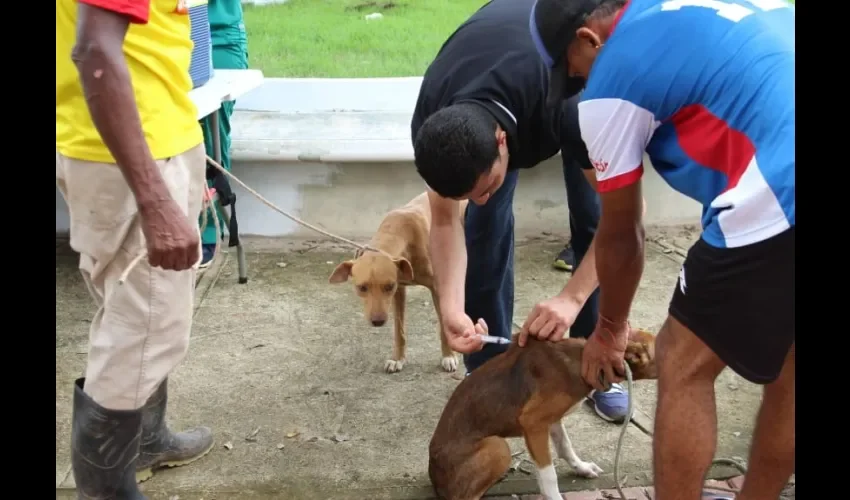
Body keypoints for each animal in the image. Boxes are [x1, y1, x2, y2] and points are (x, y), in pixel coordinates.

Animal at [328, 193, 470, 374]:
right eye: (362, 287)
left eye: (388, 286)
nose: (378, 322)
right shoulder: (399, 290)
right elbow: (399, 329)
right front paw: (397, 359)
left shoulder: (436, 288)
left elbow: (444, 327)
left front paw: (448, 356)